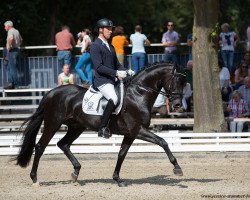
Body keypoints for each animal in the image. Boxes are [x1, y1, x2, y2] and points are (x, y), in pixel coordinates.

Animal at [14, 62, 186, 186]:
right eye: (176, 80)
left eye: (184, 83)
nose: (177, 105)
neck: (138, 95)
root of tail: (50, 93)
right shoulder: (137, 130)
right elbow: (162, 142)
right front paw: (177, 168)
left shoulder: (130, 134)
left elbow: (122, 154)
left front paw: (117, 179)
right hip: (53, 123)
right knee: (40, 147)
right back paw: (35, 179)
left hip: (77, 127)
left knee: (63, 144)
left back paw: (76, 172)